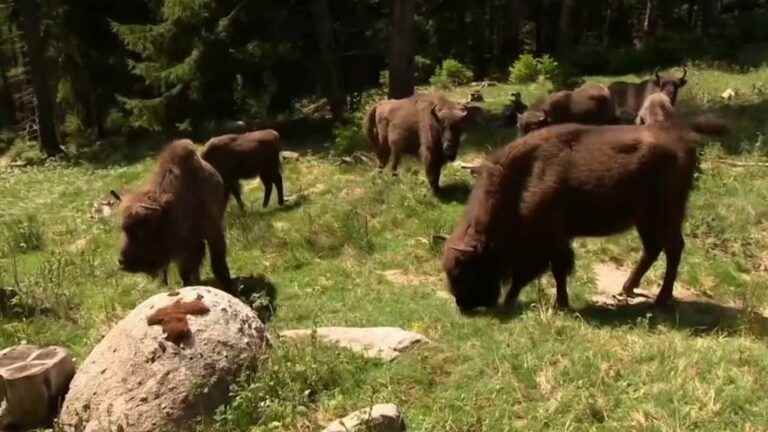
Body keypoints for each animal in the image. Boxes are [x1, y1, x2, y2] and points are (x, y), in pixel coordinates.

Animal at [111, 140, 231, 292]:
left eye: (142, 230)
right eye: (124, 229)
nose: (122, 262)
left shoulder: (213, 233)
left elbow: (218, 265)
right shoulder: (185, 247)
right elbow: (185, 270)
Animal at [440, 121, 716, 314]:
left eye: (465, 270)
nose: (464, 305)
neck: (522, 179)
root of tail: (685, 145)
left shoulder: (550, 240)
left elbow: (548, 271)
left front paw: (554, 303)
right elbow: (551, 271)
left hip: (666, 214)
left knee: (673, 249)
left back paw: (660, 300)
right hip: (644, 219)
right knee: (653, 249)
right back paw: (627, 289)